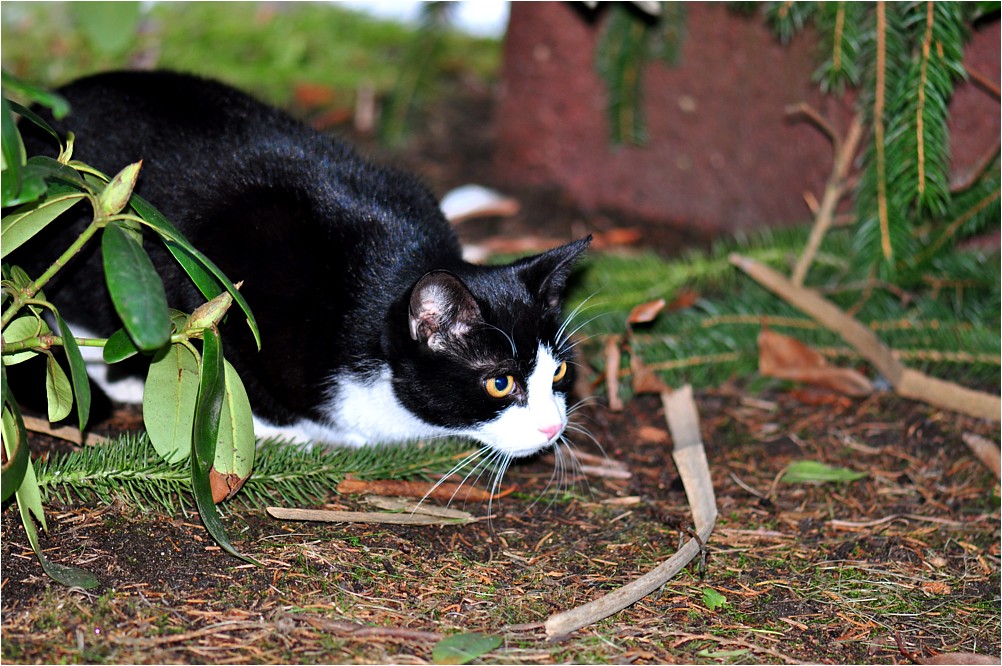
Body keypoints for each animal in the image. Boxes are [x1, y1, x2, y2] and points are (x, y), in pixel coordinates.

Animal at [17, 71, 585, 456]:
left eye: (558, 371)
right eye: (500, 383)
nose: (553, 427)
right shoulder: (212, 265)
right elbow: (224, 345)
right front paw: (284, 430)